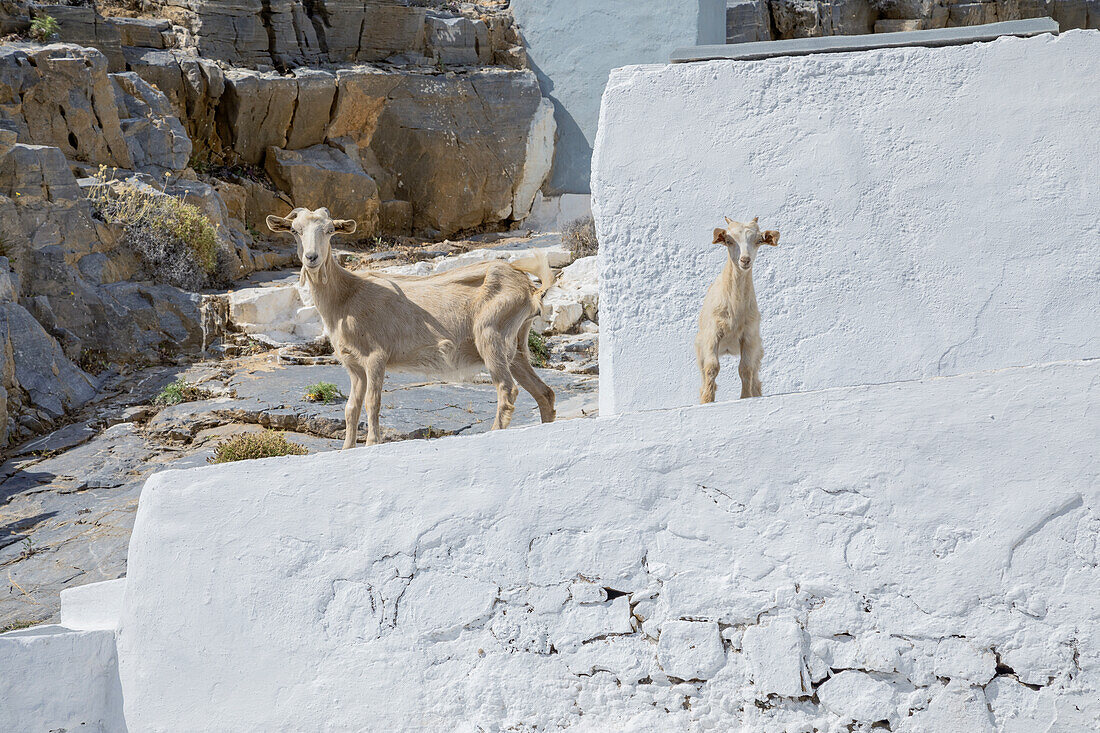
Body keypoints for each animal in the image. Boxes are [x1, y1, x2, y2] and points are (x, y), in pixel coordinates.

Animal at [267, 205, 558, 444]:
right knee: (544, 392)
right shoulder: (353, 365)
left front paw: (372, 444)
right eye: (294, 230)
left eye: (329, 231)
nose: (312, 258)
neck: (346, 296)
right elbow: (351, 409)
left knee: (507, 390)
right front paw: (347, 449)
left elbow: (372, 403)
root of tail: (530, 290)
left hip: (490, 335)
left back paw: (494, 431)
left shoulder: (376, 356)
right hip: (516, 346)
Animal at [690, 214, 778, 402]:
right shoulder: (712, 334)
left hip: (758, 350)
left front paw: (745, 397)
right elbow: (712, 367)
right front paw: (707, 401)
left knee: (756, 378)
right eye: (729, 240)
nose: (745, 260)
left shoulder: (749, 336)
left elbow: (745, 369)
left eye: (759, 240)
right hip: (700, 348)